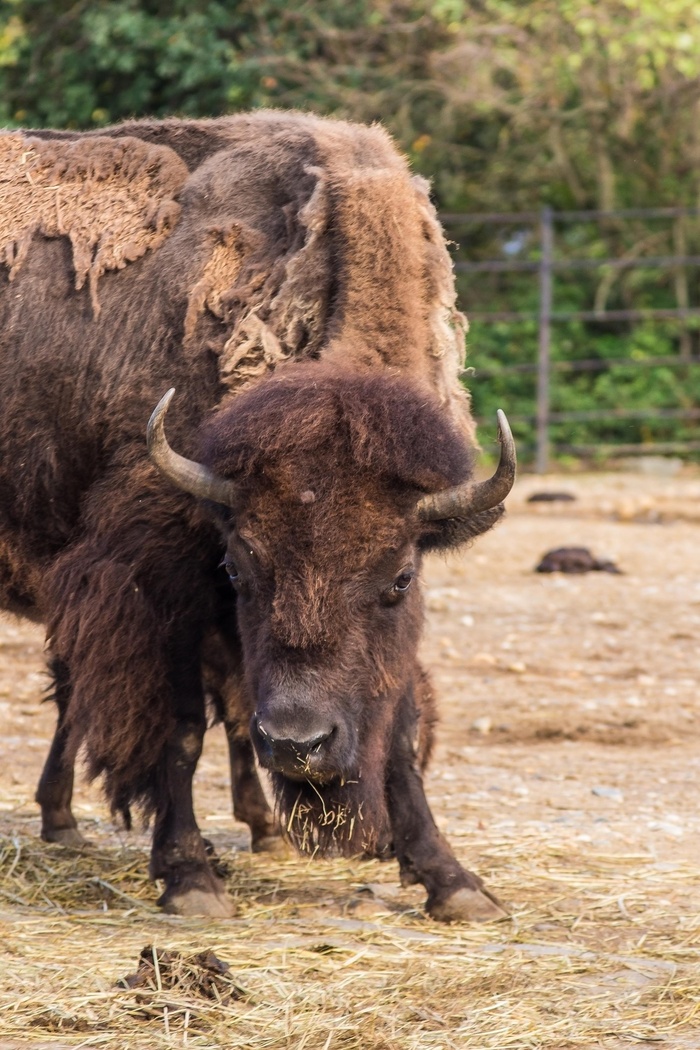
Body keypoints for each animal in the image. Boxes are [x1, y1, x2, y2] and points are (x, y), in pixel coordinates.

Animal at [0, 110, 514, 923]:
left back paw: (64, 820)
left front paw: (454, 882)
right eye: (238, 567)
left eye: (399, 578)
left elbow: (396, 727)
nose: (299, 743)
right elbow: (181, 728)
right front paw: (190, 878)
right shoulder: (159, 575)